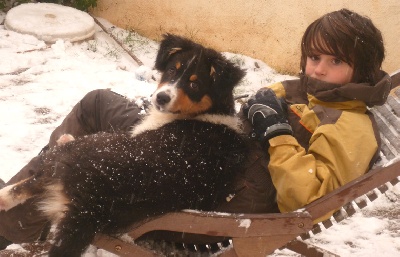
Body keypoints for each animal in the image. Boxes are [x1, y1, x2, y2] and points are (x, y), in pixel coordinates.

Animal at [0, 34, 247, 256]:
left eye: (195, 84)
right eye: (172, 71)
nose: (160, 98)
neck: (206, 112)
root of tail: (89, 201)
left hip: (81, 148)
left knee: (27, 183)